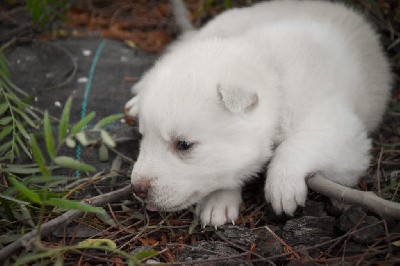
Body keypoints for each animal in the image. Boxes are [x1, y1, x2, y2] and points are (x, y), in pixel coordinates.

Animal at [125, 0, 390, 227]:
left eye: (184, 145)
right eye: (143, 137)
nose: (137, 189)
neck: (272, 70)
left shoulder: (346, 139)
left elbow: (299, 143)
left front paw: (282, 185)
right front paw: (218, 199)